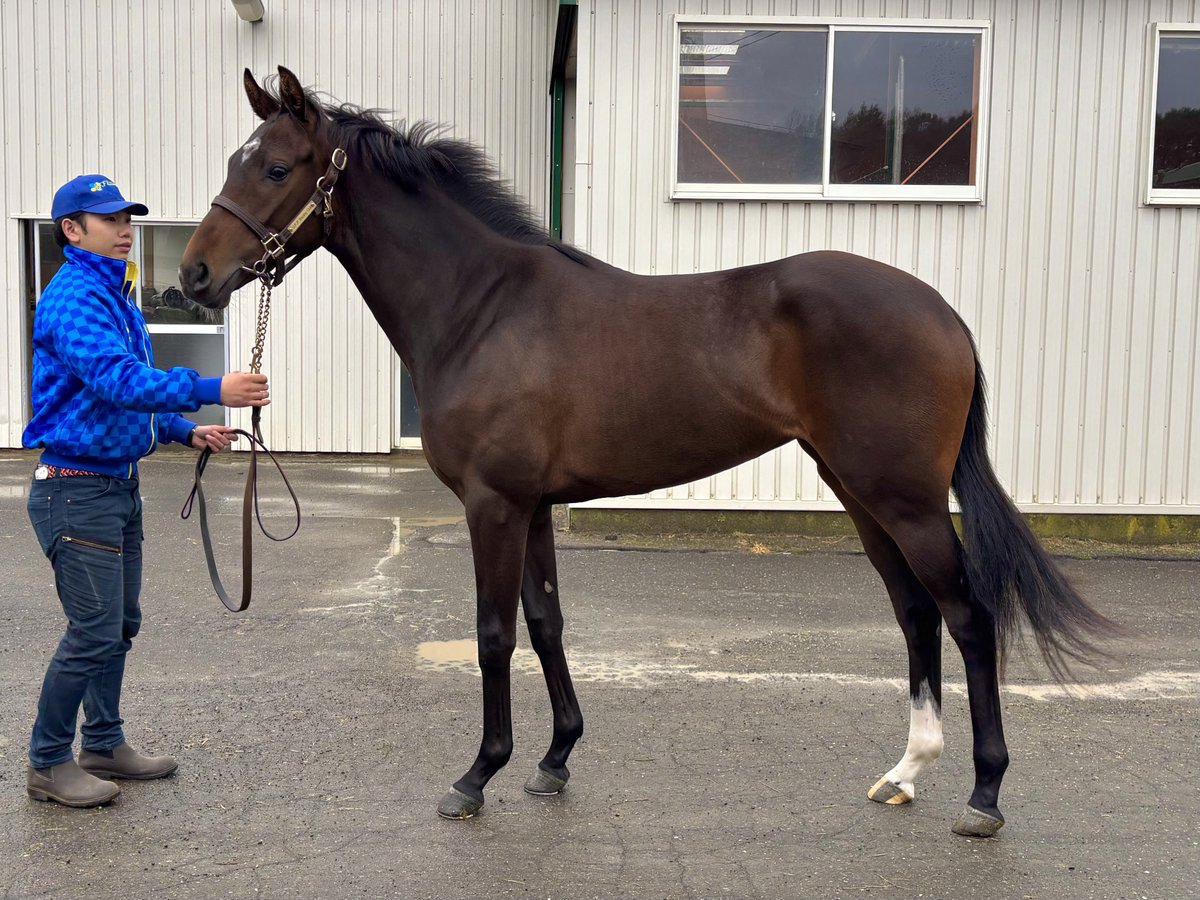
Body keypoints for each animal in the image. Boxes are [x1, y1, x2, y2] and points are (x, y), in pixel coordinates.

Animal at [180, 66, 1119, 837]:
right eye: (233, 159)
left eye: (274, 168)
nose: (193, 277)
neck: (484, 306)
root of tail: (945, 313)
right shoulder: (534, 507)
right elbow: (547, 624)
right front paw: (554, 761)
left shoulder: (494, 504)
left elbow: (493, 634)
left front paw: (477, 776)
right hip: (861, 494)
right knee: (917, 614)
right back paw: (906, 772)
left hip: (907, 500)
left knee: (969, 618)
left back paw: (984, 796)